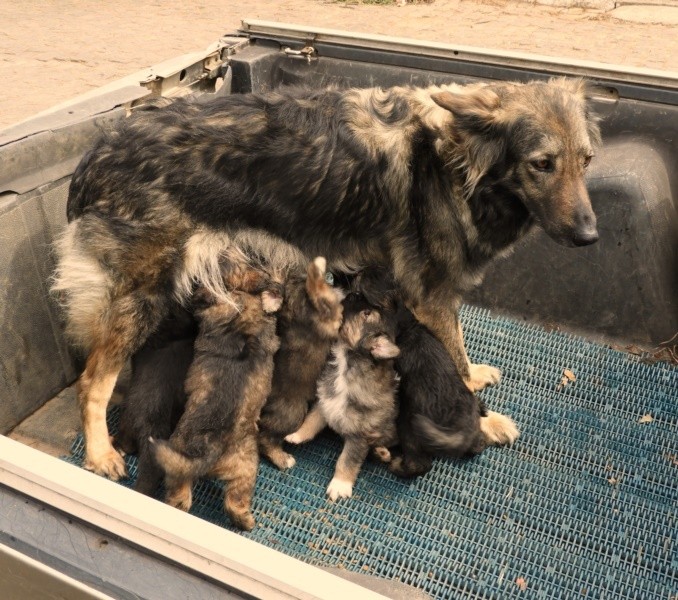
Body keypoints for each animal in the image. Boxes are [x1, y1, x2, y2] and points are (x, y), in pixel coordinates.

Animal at [151, 288, 282, 532]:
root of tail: (212, 449)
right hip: (246, 466)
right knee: (235, 500)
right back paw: (245, 522)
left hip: (180, 463)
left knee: (180, 496)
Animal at [260, 255, 346, 472]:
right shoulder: (328, 315)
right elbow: (318, 290)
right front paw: (317, 266)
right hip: (293, 413)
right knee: (265, 439)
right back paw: (283, 459)